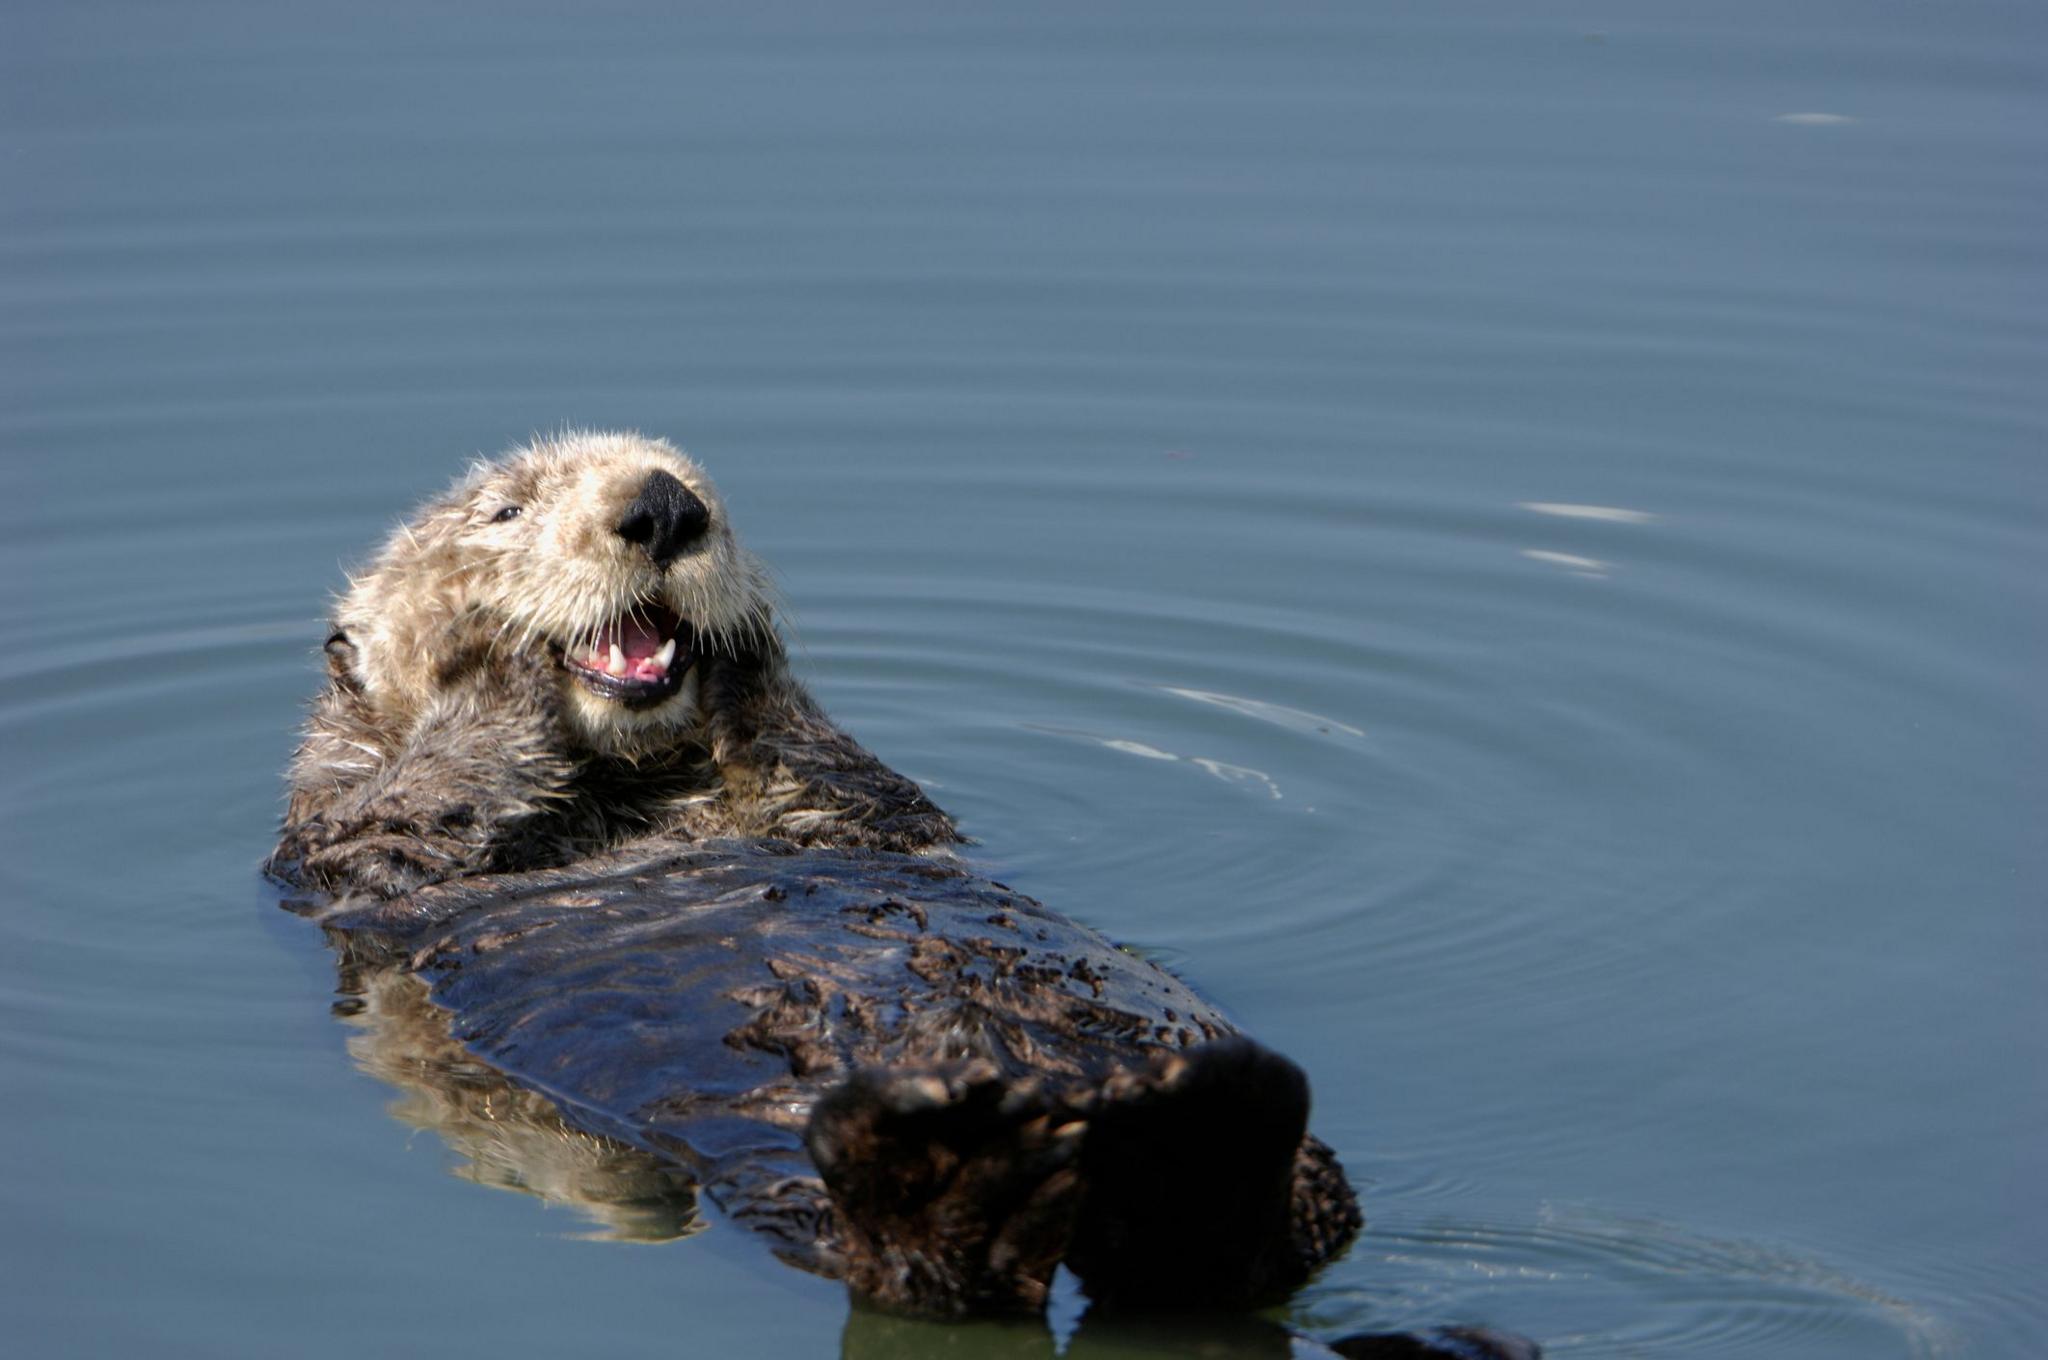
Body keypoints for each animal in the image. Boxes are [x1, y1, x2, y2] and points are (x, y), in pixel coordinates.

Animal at [276, 430, 1540, 1351]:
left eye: (697, 483)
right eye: (503, 512)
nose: (663, 507)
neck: (634, 792)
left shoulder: (864, 810)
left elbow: (842, 774)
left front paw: (748, 660)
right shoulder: (337, 847)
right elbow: (413, 807)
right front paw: (494, 680)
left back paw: (1192, 1124)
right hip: (788, 1171)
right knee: (934, 1277)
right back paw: (958, 1155)